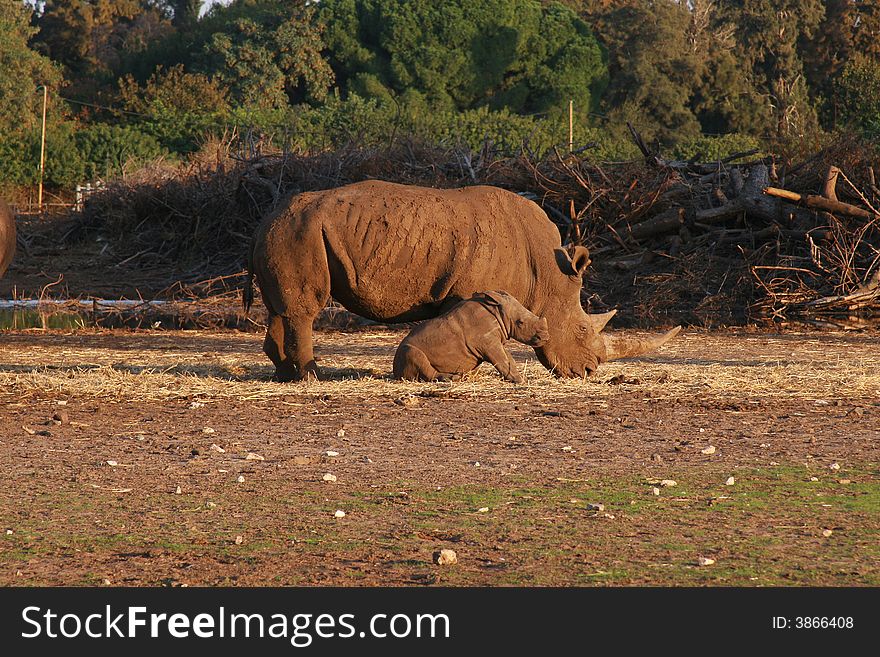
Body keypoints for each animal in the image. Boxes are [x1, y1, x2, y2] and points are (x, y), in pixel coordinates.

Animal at [394, 290, 552, 382]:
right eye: (520, 322)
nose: (545, 338)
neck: (498, 313)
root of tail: (395, 371)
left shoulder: (496, 340)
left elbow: (508, 359)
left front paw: (520, 378)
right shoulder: (487, 341)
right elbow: (502, 360)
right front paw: (520, 380)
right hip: (406, 350)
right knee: (414, 354)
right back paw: (452, 378)